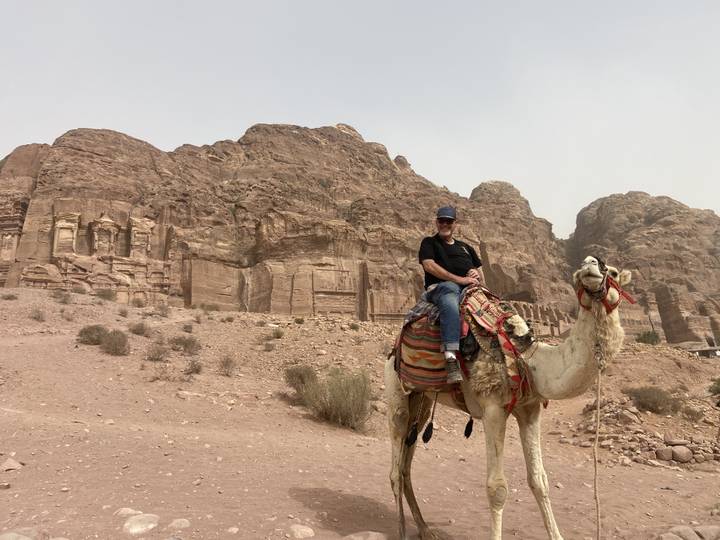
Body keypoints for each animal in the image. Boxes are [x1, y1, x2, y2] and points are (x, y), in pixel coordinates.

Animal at [385, 255, 633, 540]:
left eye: (613, 271)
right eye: (581, 271)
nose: (592, 264)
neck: (529, 359)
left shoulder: (530, 409)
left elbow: (540, 480)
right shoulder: (492, 408)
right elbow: (497, 488)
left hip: (422, 399)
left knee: (406, 466)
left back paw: (425, 529)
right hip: (396, 390)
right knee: (395, 468)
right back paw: (402, 531)